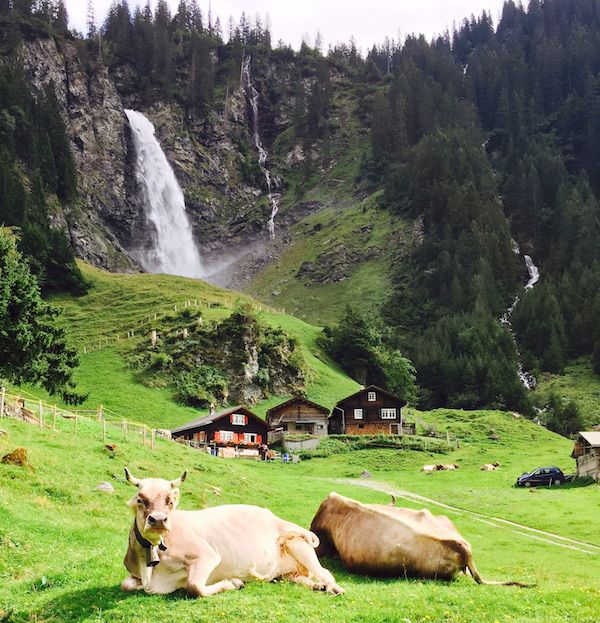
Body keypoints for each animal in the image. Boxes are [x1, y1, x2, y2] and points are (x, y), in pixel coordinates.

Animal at [120, 470, 342, 596]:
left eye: (169, 500)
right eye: (140, 499)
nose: (158, 520)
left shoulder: (206, 556)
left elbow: (194, 587)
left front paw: (233, 582)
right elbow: (125, 584)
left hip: (296, 541)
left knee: (325, 572)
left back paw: (332, 587)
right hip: (285, 572)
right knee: (295, 578)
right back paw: (317, 586)